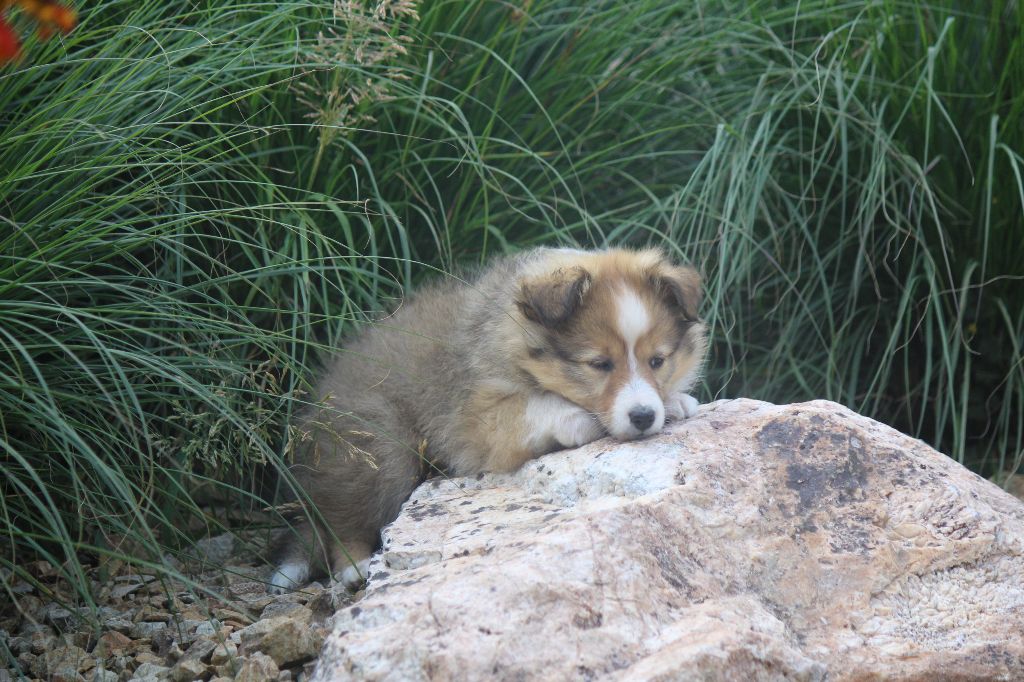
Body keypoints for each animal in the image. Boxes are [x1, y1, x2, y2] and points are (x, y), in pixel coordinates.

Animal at [270, 247, 707, 592]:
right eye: (599, 364)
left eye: (657, 360)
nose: (643, 416)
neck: (512, 336)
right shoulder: (474, 417)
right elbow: (535, 407)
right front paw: (579, 419)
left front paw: (676, 401)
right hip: (378, 447)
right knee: (340, 515)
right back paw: (354, 566)